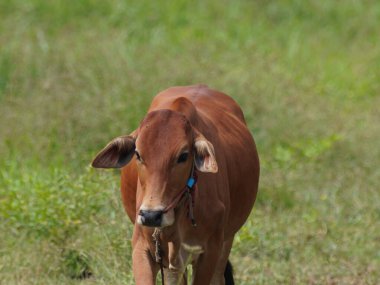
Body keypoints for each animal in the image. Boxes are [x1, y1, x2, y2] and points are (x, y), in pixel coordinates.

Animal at [90, 85, 260, 284]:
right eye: (138, 154)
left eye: (183, 156)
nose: (151, 215)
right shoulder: (141, 248)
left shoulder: (210, 251)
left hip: (226, 242)